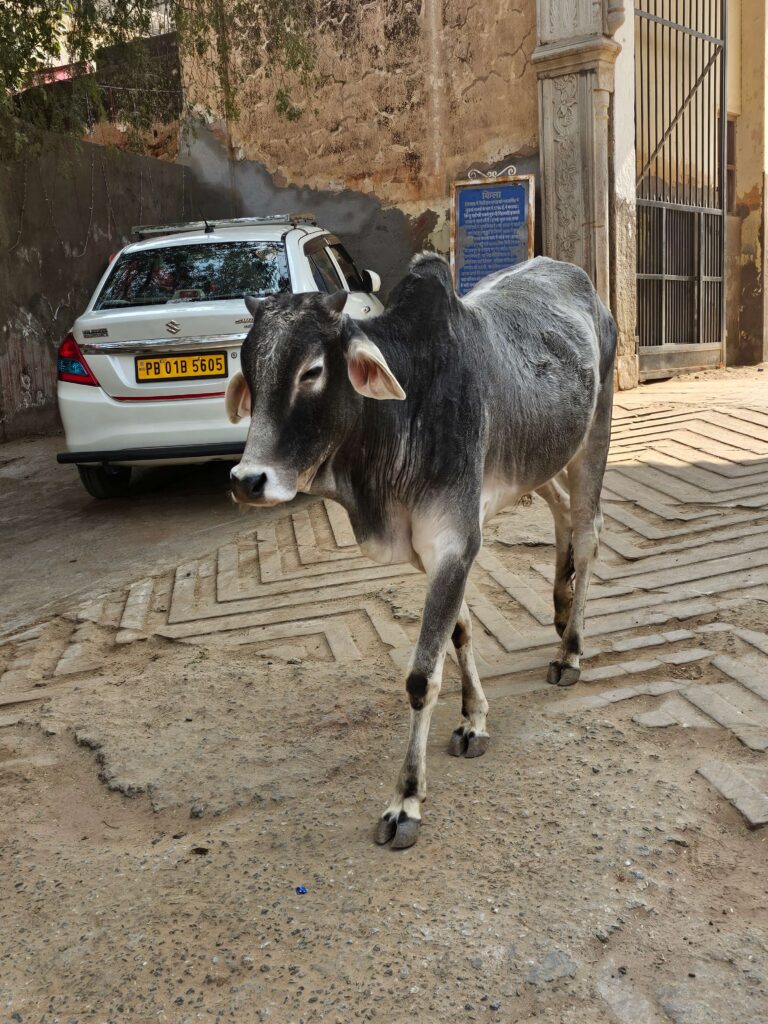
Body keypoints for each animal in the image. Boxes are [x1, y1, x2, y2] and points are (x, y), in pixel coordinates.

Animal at [225, 253, 618, 847]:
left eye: (311, 371)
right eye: (249, 372)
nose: (248, 480)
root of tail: (574, 275)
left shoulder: (455, 543)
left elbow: (421, 676)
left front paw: (405, 800)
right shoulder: (438, 549)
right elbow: (459, 631)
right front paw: (474, 718)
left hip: (596, 430)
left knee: (589, 527)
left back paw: (570, 647)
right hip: (538, 455)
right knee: (560, 505)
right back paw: (560, 601)